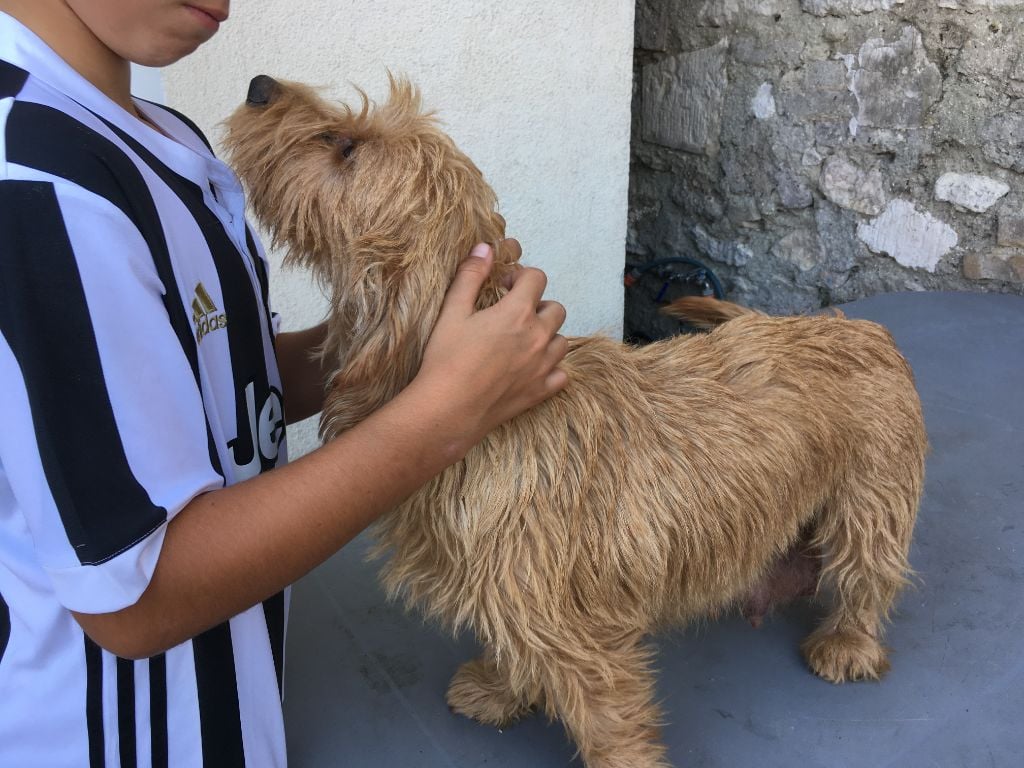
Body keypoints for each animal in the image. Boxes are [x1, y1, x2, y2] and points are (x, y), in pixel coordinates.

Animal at [224, 75, 929, 765]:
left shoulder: (579, 635)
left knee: (868, 575)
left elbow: (610, 727)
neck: (494, 419)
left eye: (345, 147)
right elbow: (514, 649)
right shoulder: (516, 601)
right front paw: (501, 689)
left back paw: (848, 642)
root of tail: (854, 326)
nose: (258, 84)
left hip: (870, 505)